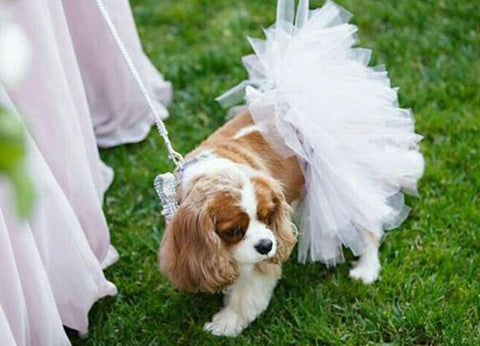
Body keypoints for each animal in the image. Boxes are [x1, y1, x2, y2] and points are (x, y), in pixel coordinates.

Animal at [159, 111, 384, 336]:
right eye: (233, 231)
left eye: (268, 216)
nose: (266, 245)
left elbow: (245, 295)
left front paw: (226, 323)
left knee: (369, 227)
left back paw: (366, 269)